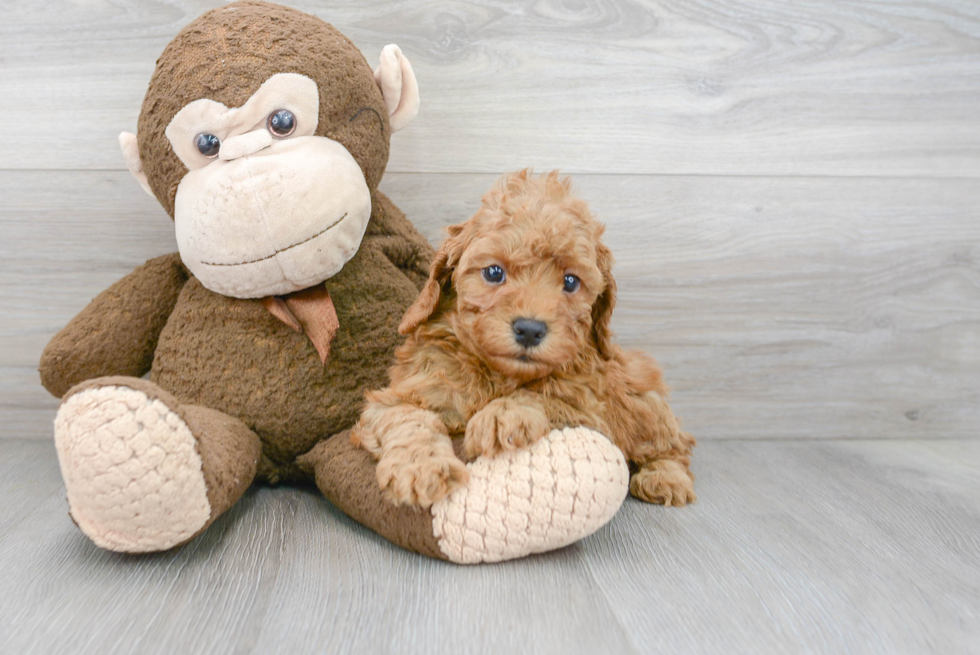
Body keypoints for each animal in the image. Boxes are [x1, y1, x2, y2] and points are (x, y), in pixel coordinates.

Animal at [352, 169, 696, 508]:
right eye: (493, 273)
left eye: (571, 282)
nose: (530, 329)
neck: (499, 375)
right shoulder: (405, 392)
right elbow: (408, 419)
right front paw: (420, 469)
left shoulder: (591, 409)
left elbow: (549, 394)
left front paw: (502, 414)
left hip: (642, 400)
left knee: (674, 445)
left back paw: (665, 478)